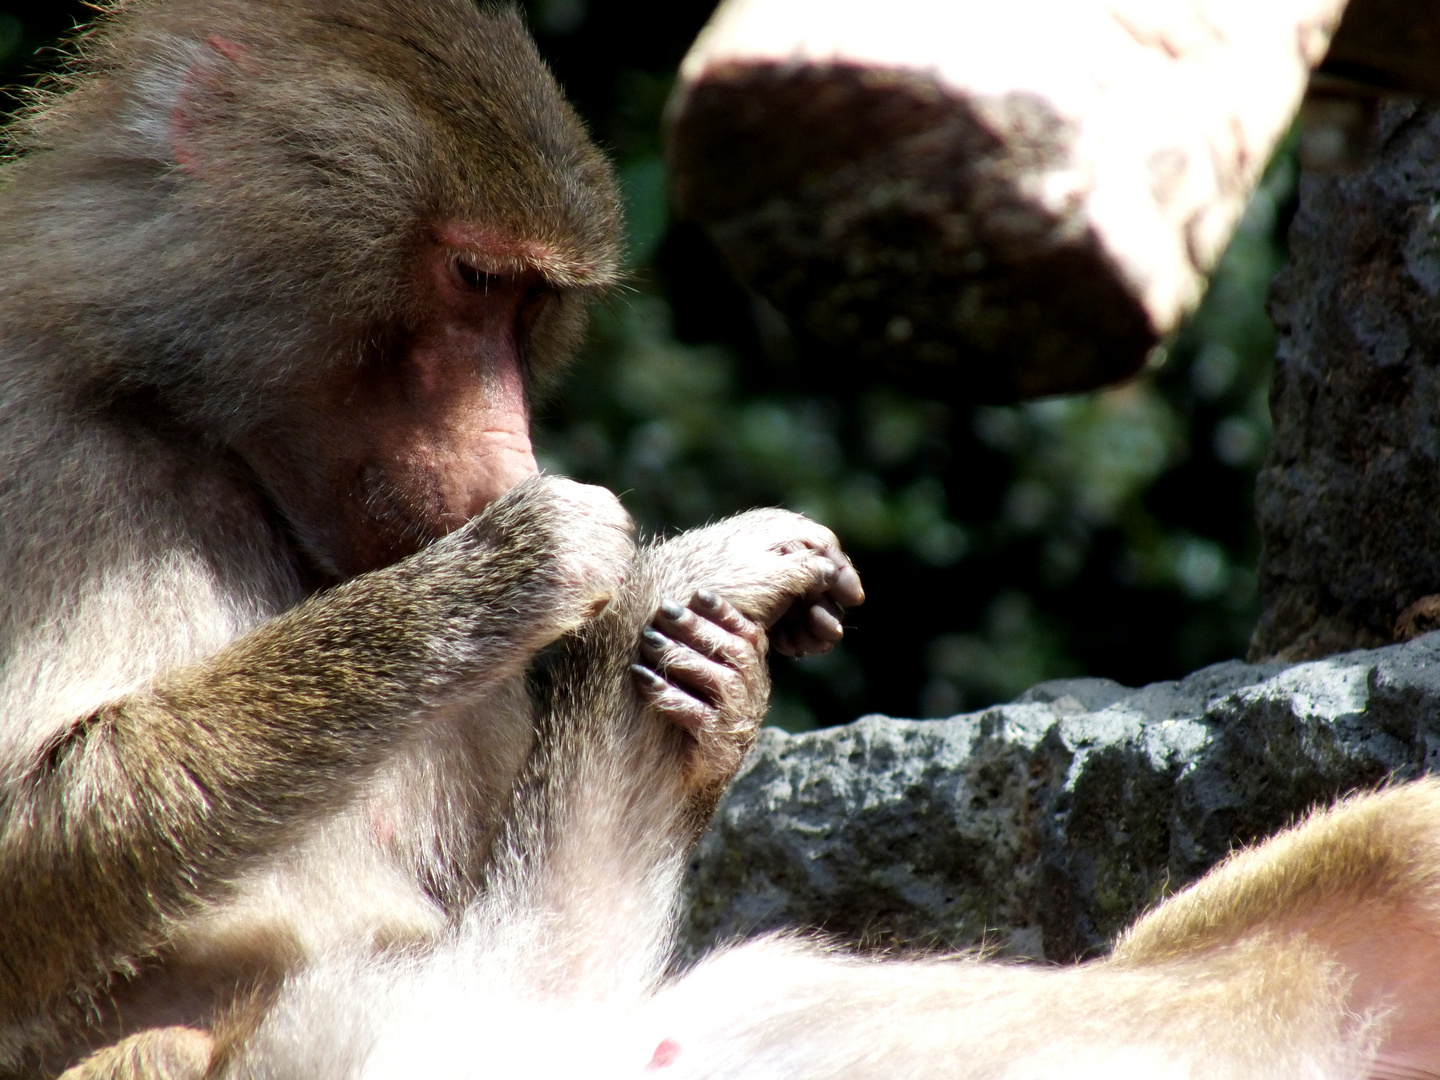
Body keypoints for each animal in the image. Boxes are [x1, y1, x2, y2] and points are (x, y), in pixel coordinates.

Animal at [0, 4, 852, 1077]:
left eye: (531, 303)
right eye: (475, 276)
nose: (512, 464)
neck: (196, 430)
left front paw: (715, 678)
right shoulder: (37, 436)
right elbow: (26, 854)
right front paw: (520, 564)